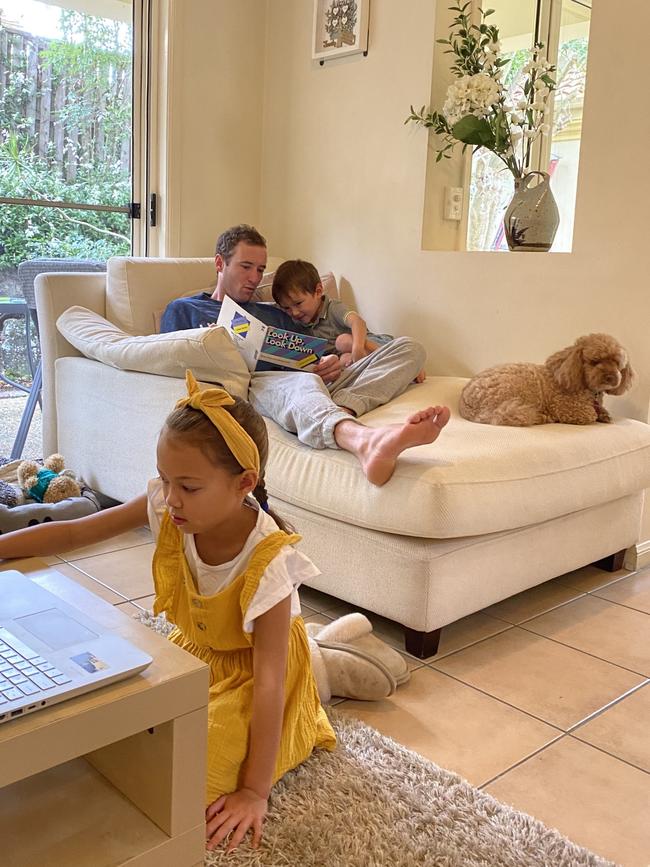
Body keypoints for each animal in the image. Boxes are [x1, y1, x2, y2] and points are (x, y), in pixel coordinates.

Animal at [456, 332, 632, 428]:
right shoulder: (567, 407)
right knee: (504, 417)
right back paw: (542, 417)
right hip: (512, 393)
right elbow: (590, 415)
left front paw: (604, 414)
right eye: (595, 361)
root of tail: (465, 404)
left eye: (617, 363)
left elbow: (602, 411)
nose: (611, 377)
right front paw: (598, 415)